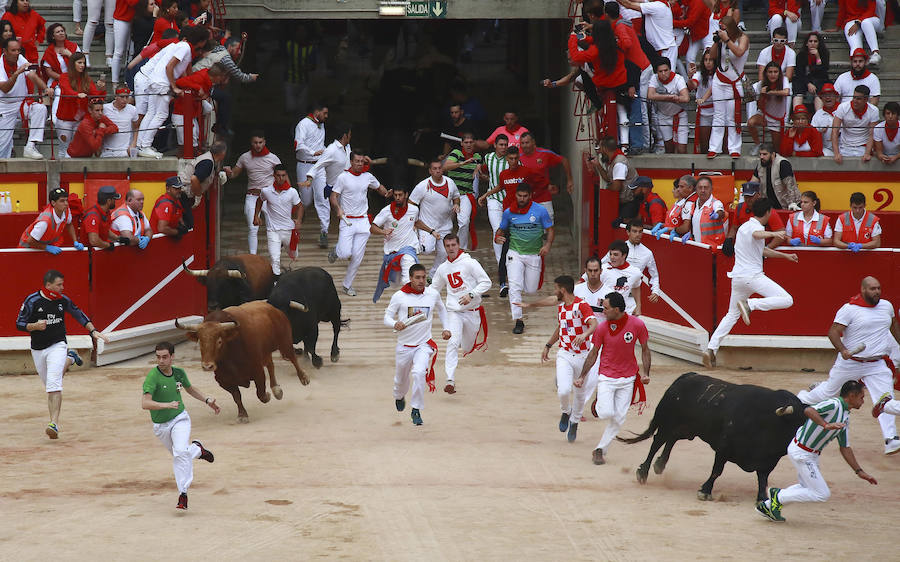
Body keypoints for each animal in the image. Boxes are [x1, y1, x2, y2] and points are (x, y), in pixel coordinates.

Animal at [176, 300, 310, 418]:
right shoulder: (223, 380)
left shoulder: (258, 371)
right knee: (270, 364)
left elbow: (261, 394)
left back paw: (302, 378)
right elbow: (237, 396)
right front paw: (242, 414)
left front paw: (267, 396)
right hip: (265, 352)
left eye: (219, 341)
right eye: (200, 342)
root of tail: (273, 308)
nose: (207, 366)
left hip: (284, 342)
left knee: (292, 358)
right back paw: (276, 389)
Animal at [620, 372, 808, 498]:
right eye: (796, 423)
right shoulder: (724, 448)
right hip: (667, 423)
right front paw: (705, 491)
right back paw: (643, 472)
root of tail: (688, 376)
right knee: (657, 442)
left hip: (687, 429)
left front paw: (762, 498)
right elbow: (717, 470)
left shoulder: (768, 461)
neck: (767, 420)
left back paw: (660, 465)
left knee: (672, 439)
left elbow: (763, 479)